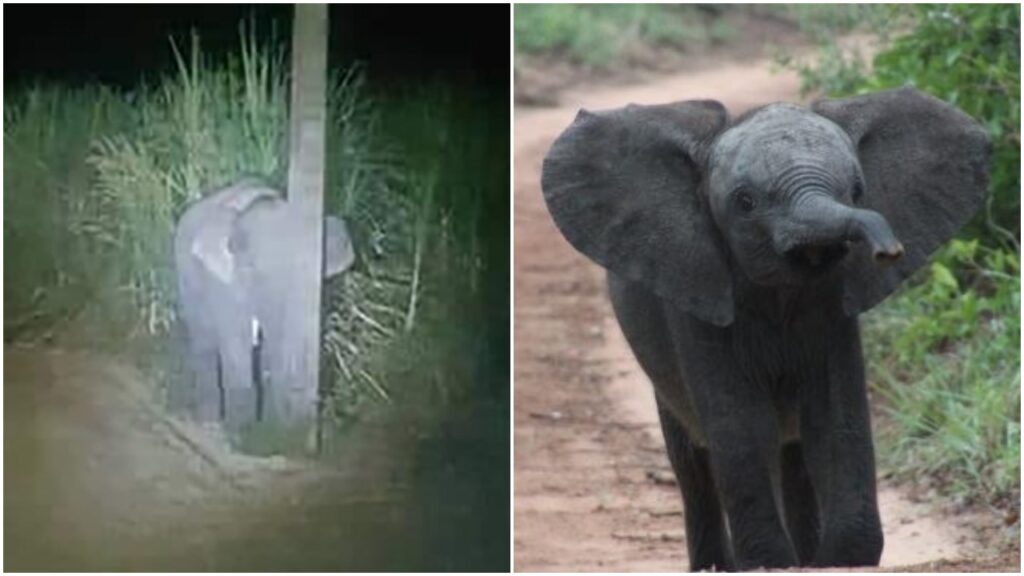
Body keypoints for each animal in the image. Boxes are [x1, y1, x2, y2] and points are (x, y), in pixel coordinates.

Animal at [173, 177, 356, 428]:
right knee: (204, 346)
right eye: (251, 271)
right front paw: (239, 434)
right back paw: (209, 422)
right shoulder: (224, 285)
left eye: (315, 277)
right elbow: (237, 354)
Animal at [544, 87, 991, 565]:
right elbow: (744, 423)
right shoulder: (697, 292)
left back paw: (807, 557)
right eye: (745, 202)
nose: (888, 251)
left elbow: (832, 417)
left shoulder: (833, 304)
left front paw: (842, 558)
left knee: (792, 451)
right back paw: (719, 566)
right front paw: (769, 562)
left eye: (857, 190)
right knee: (692, 457)